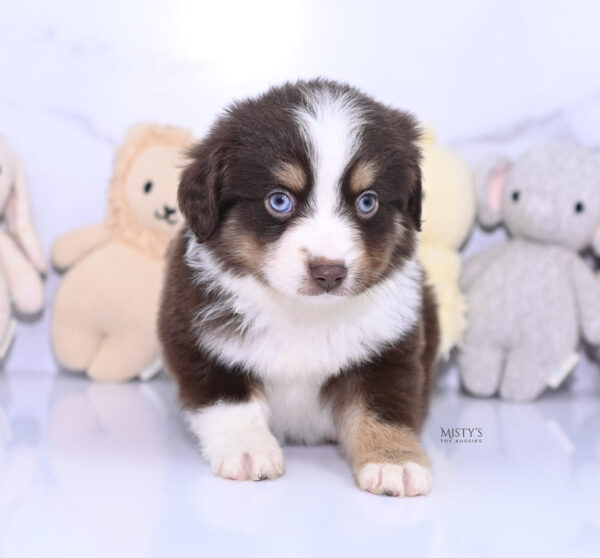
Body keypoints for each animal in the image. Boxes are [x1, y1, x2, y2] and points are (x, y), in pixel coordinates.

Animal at [158, 79, 440, 498]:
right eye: (279, 200)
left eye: (367, 202)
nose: (329, 272)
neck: (303, 313)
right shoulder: (197, 339)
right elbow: (229, 402)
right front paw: (249, 451)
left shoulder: (390, 349)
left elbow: (383, 409)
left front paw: (394, 461)